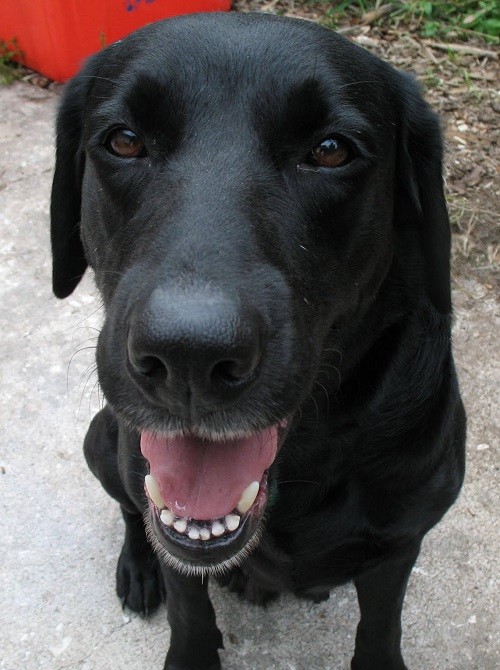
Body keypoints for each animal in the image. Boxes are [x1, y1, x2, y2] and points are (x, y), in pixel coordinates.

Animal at [50, 11, 464, 670]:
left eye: (330, 151)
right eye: (124, 141)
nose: (189, 356)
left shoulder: (400, 540)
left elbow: (381, 626)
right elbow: (188, 606)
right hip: (102, 441)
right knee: (131, 511)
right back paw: (138, 568)